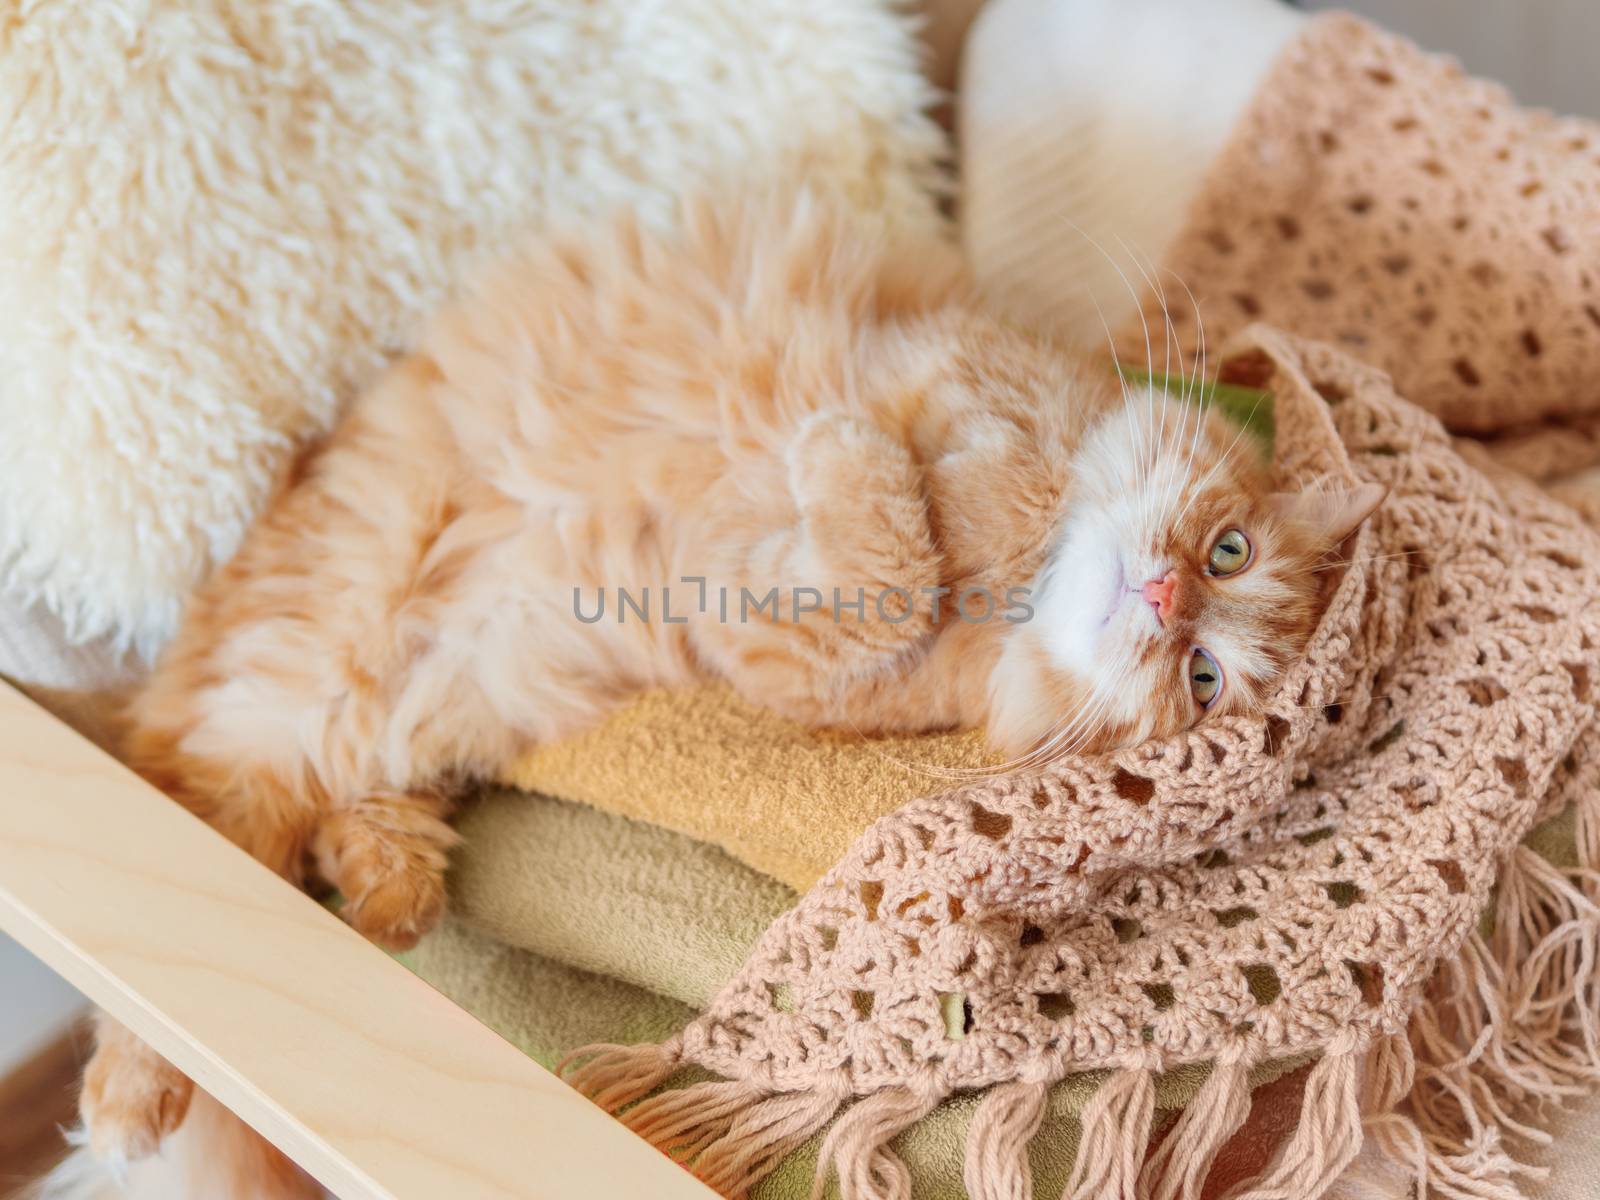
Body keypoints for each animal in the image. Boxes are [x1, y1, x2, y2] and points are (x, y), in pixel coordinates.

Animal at [78, 190, 1376, 1177]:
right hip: (313, 669)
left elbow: (882, 566)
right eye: (1227, 556)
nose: (1160, 603)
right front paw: (926, 469)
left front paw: (867, 474)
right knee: (187, 861)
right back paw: (137, 1093)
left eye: (1204, 679)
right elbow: (938, 473)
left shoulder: (777, 661)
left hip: (380, 721)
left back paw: (378, 908)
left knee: (262, 853)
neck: (1023, 584)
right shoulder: (939, 369)